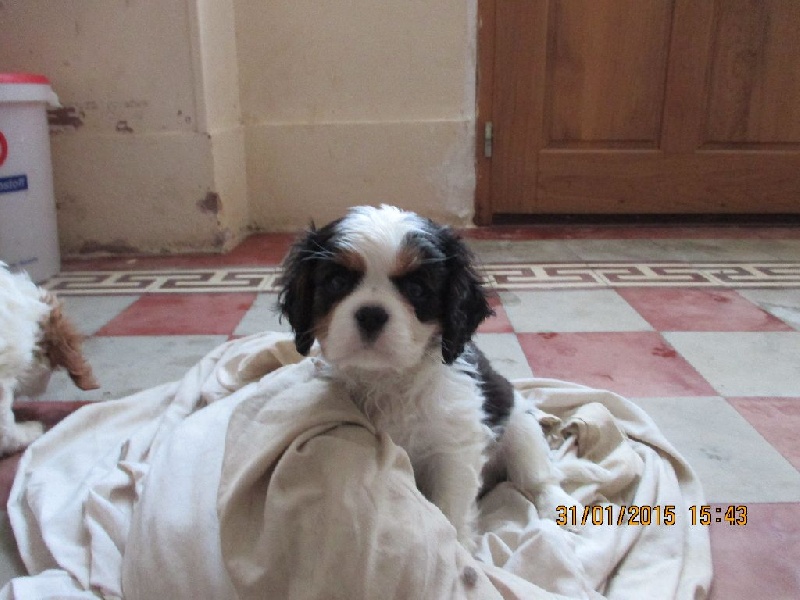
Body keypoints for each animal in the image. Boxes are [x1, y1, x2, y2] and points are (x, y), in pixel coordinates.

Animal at [277, 205, 569, 550]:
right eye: (336, 282)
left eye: (417, 290)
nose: (371, 314)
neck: (387, 378)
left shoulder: (454, 449)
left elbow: (450, 509)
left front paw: (459, 554)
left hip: (520, 427)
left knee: (540, 478)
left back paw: (559, 509)